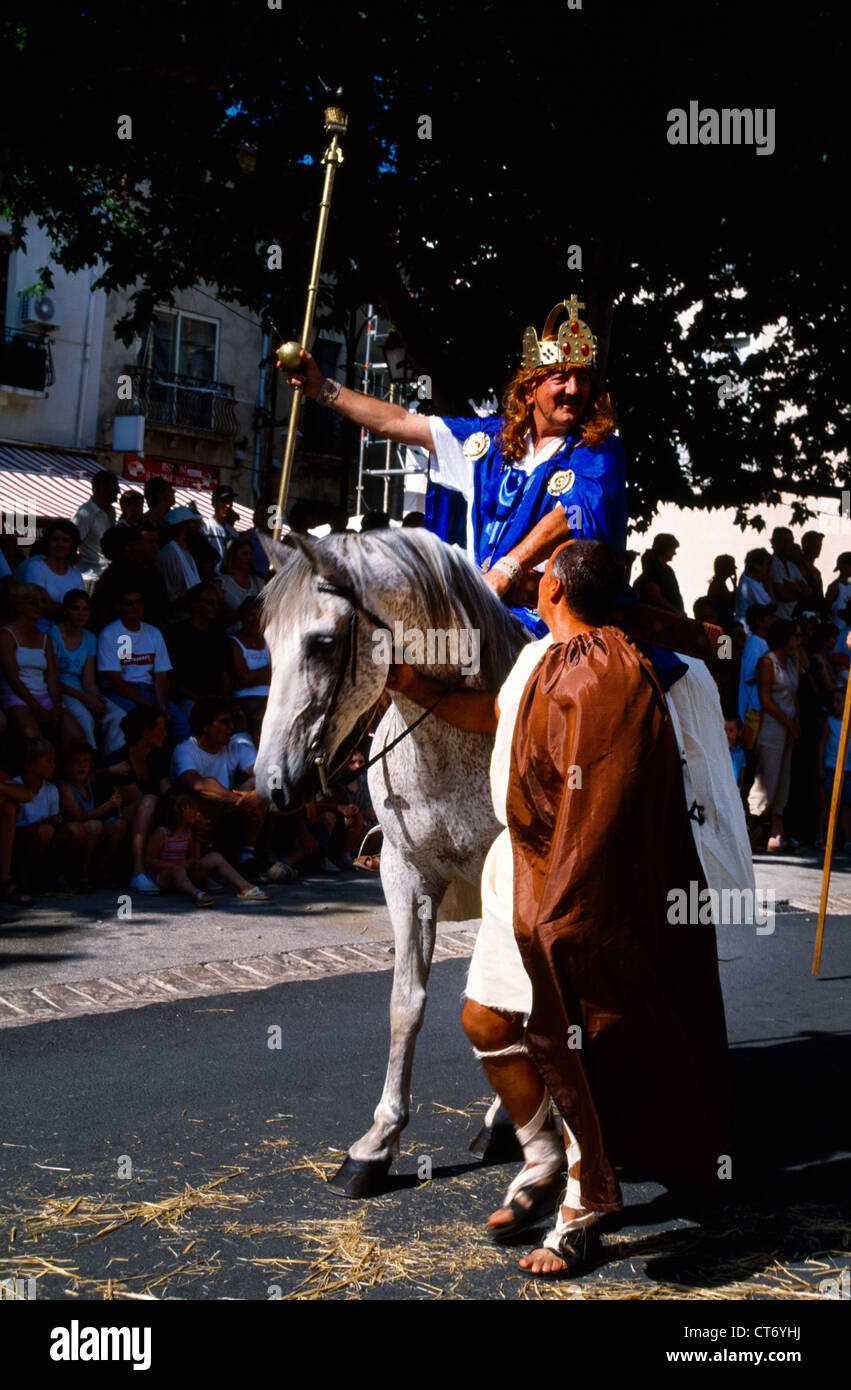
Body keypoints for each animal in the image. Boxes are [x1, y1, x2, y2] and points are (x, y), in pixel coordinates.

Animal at [255, 525, 528, 1200]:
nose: (271, 784)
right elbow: (406, 1003)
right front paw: (375, 1146)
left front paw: (506, 1120)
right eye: (267, 642)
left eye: (323, 642)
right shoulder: (406, 875)